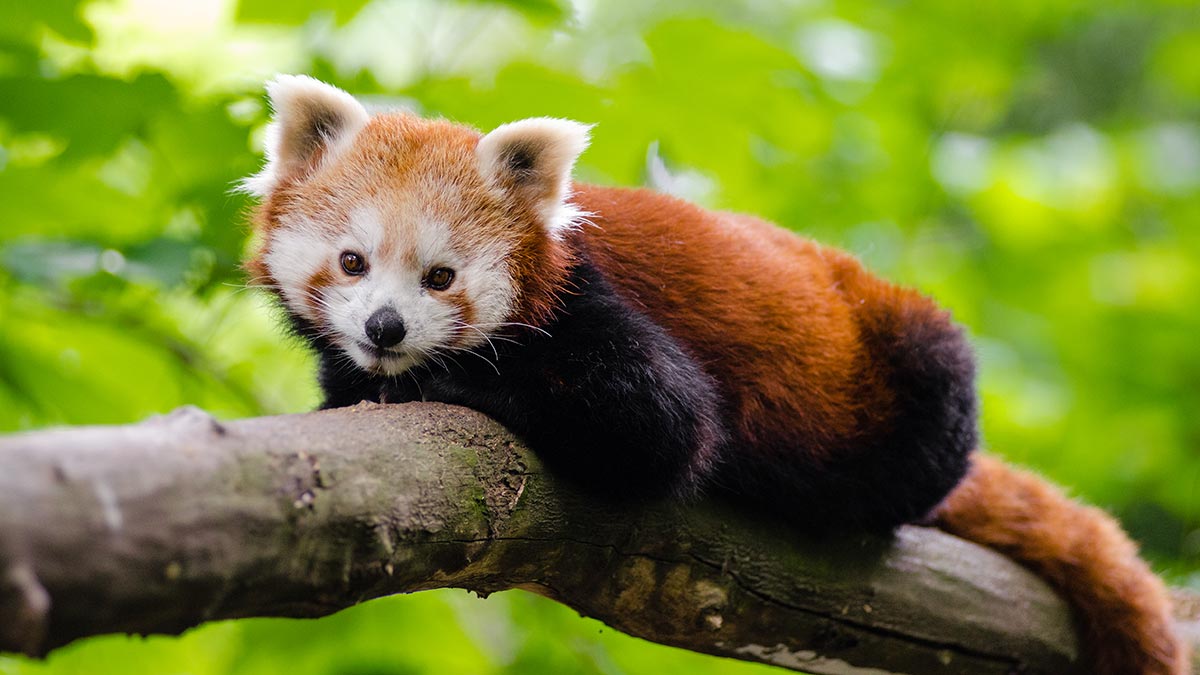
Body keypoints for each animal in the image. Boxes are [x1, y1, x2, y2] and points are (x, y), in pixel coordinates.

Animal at [241, 74, 1180, 672]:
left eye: (440, 276)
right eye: (353, 262)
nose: (385, 329)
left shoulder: (596, 309)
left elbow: (664, 427)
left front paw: (437, 381)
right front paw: (354, 384)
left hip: (913, 361)